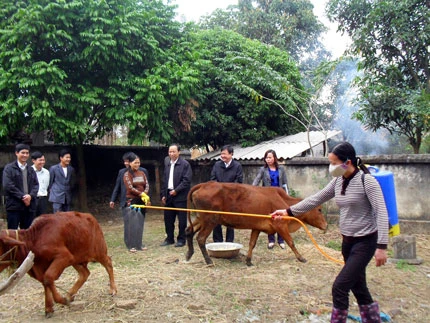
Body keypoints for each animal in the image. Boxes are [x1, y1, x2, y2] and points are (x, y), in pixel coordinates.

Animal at [184, 184, 326, 268]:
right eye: (319, 209)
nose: (325, 225)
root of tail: (204, 184)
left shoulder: (256, 228)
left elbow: (252, 243)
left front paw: (248, 261)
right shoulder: (280, 225)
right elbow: (291, 242)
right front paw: (301, 258)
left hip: (201, 219)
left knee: (188, 230)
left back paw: (189, 254)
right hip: (210, 220)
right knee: (200, 238)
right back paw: (208, 261)